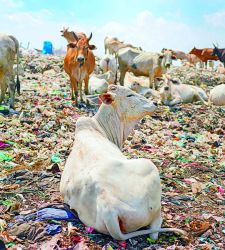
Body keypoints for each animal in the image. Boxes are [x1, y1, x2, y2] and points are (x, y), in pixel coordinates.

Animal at [59, 85, 186, 240]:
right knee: (155, 229)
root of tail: (109, 207)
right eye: (129, 95)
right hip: (149, 168)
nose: (155, 103)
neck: (99, 128)